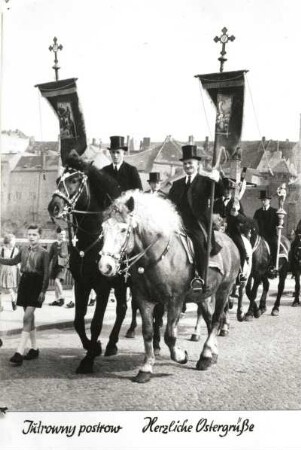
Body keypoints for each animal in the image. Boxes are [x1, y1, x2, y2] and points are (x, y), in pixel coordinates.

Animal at [98, 191, 239, 384]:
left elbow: (170, 336)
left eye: (123, 229)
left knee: (217, 319)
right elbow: (148, 332)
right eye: (103, 228)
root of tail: (229, 241)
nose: (105, 266)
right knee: (210, 320)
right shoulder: (144, 299)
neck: (155, 258)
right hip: (203, 296)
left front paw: (181, 355)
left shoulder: (175, 301)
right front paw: (146, 368)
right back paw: (212, 354)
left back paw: (205, 357)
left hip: (224, 290)